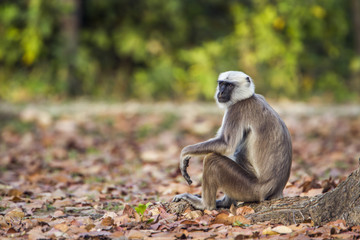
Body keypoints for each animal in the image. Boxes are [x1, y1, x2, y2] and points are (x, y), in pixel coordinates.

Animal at [173, 71, 294, 210]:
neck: (247, 97)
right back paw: (224, 203)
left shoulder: (237, 109)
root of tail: (276, 192)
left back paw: (205, 205)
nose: (221, 92)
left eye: (229, 85)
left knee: (212, 160)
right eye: (221, 84)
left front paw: (184, 153)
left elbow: (225, 145)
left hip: (251, 189)